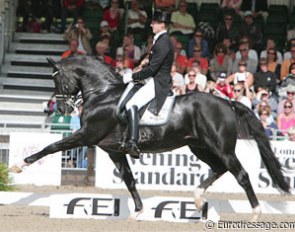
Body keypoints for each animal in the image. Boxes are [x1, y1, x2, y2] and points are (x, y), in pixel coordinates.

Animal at [12, 55, 290, 219]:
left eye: (56, 80)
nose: (61, 108)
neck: (102, 94)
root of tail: (228, 102)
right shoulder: (113, 150)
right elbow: (129, 179)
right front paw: (138, 211)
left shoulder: (85, 136)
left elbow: (52, 146)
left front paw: (19, 165)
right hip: (200, 147)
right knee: (219, 169)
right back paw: (198, 200)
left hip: (222, 147)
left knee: (240, 174)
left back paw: (255, 213)